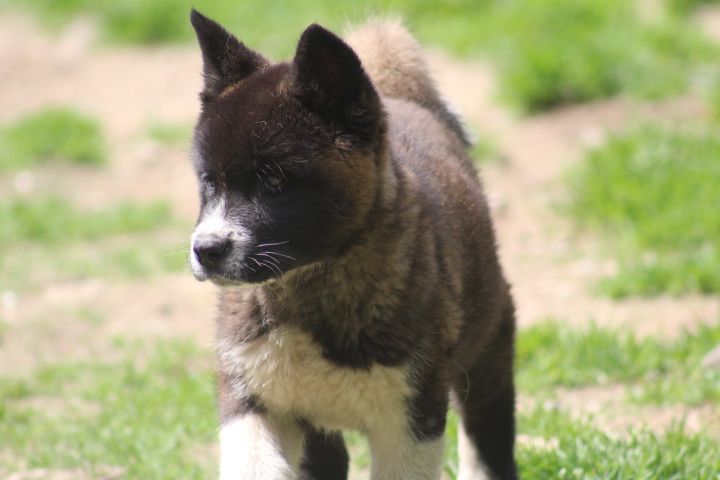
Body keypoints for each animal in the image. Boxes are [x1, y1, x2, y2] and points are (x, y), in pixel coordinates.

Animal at [188, 9, 517, 479]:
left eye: (274, 181)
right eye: (208, 181)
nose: (206, 250)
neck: (307, 292)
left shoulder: (410, 421)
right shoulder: (251, 398)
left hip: (488, 345)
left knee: (488, 435)